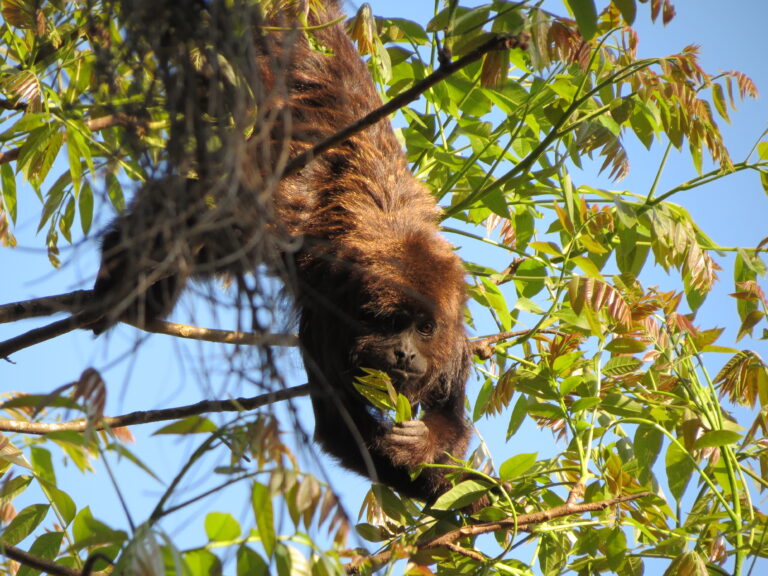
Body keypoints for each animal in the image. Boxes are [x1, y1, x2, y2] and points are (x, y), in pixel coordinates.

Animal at [91, 0, 473, 505]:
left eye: (425, 329)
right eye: (390, 323)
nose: (406, 355)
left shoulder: (456, 338)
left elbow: (453, 418)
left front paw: (427, 447)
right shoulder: (327, 320)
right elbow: (339, 430)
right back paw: (123, 271)